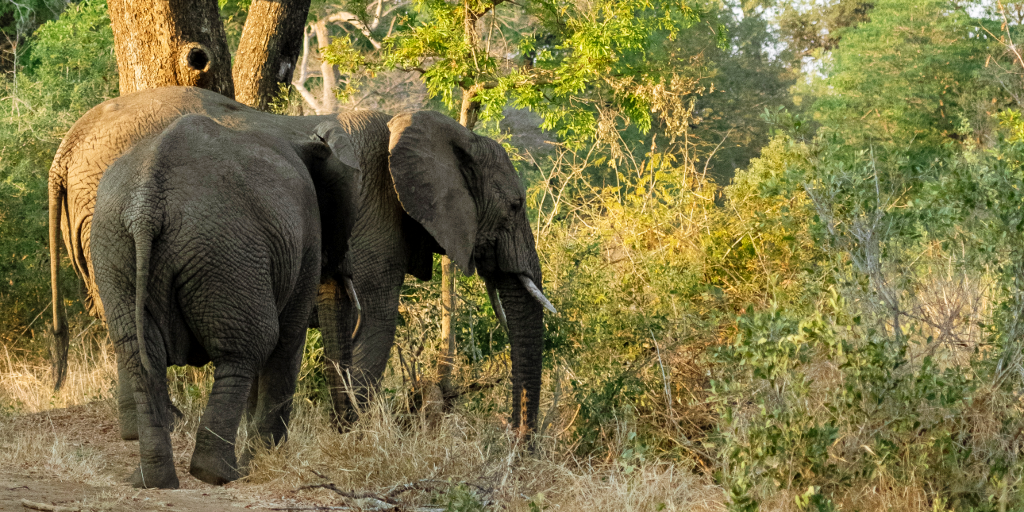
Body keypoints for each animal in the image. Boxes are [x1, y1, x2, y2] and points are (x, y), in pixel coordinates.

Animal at [92, 113, 362, 487]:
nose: (350, 431)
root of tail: (147, 203)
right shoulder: (307, 235)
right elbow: (288, 340)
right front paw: (263, 461)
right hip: (224, 250)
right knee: (248, 349)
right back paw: (220, 474)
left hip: (116, 246)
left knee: (140, 354)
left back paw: (152, 481)